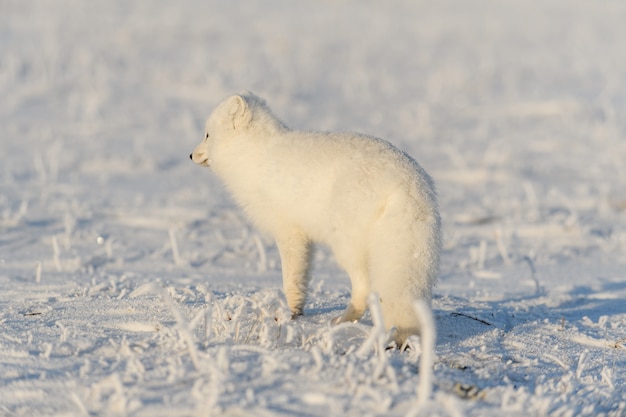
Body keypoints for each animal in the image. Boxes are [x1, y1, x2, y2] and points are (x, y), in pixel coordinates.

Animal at [190, 92, 438, 344]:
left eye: (207, 135)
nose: (191, 155)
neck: (256, 155)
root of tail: (406, 184)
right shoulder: (304, 237)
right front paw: (298, 311)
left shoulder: (289, 231)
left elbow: (291, 277)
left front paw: (288, 314)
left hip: (347, 245)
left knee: (364, 287)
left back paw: (342, 320)